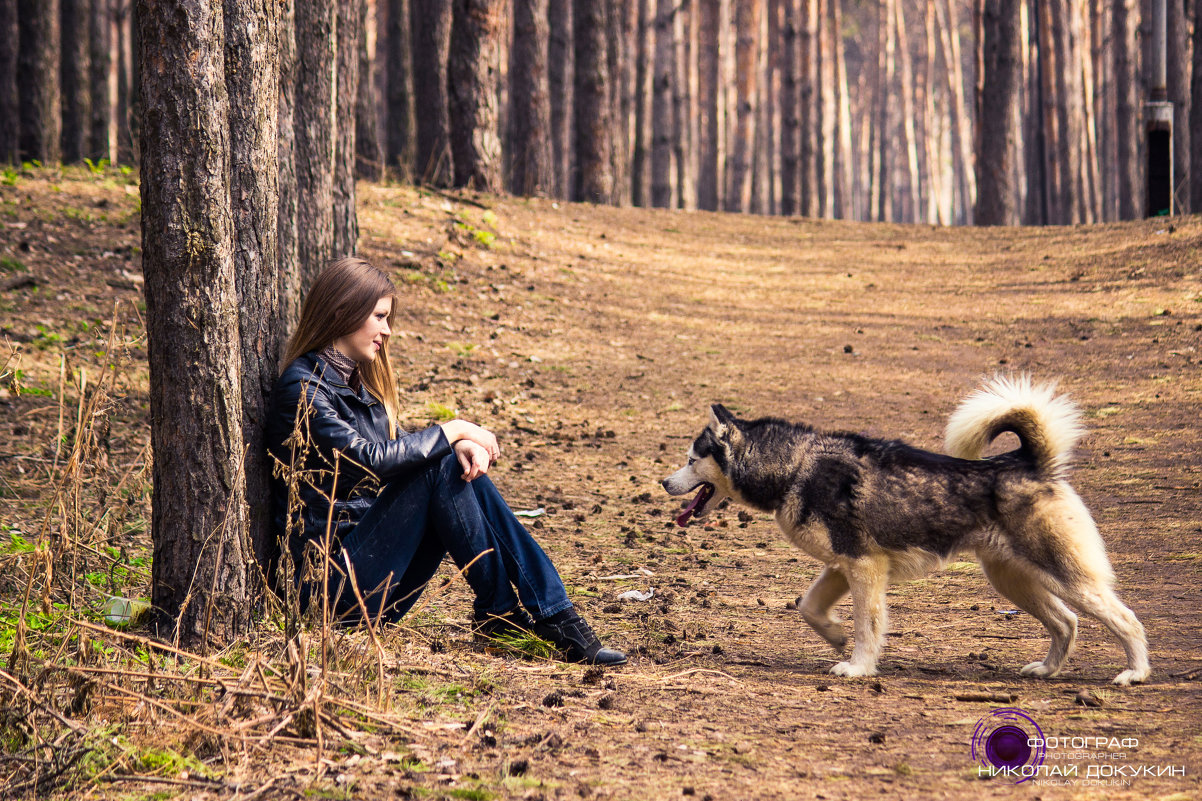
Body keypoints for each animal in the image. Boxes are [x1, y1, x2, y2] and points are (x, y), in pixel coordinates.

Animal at [663, 377, 1149, 683]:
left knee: (1126, 620)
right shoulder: (843, 567)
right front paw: (835, 636)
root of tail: (1028, 461)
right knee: (1066, 623)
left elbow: (868, 625)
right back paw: (1047, 670)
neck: (796, 466)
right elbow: (810, 608)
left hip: (1067, 578)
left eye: (690, 460)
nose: (664, 483)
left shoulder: (864, 568)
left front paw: (858, 667)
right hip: (1013, 580)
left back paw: (1135, 673)